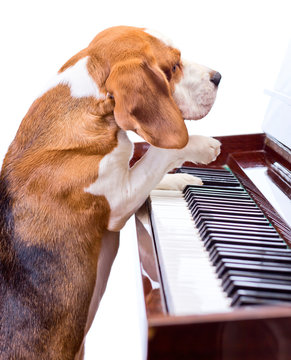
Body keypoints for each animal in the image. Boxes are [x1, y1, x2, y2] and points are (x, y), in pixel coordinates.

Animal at [0, 26, 222, 358]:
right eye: (173, 67)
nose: (218, 76)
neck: (89, 105)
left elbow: (145, 163)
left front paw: (179, 181)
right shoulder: (118, 201)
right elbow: (157, 154)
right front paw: (200, 145)